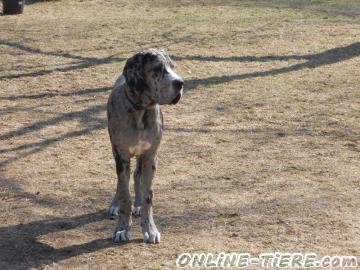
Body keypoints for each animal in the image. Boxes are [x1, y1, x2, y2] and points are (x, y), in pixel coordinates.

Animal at [105, 49, 181, 245]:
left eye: (172, 66)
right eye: (157, 69)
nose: (180, 83)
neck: (140, 110)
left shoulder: (150, 156)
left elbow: (148, 196)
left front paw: (150, 230)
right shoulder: (121, 156)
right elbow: (125, 195)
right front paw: (122, 229)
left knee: (136, 174)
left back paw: (137, 205)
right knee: (120, 181)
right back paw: (115, 204)